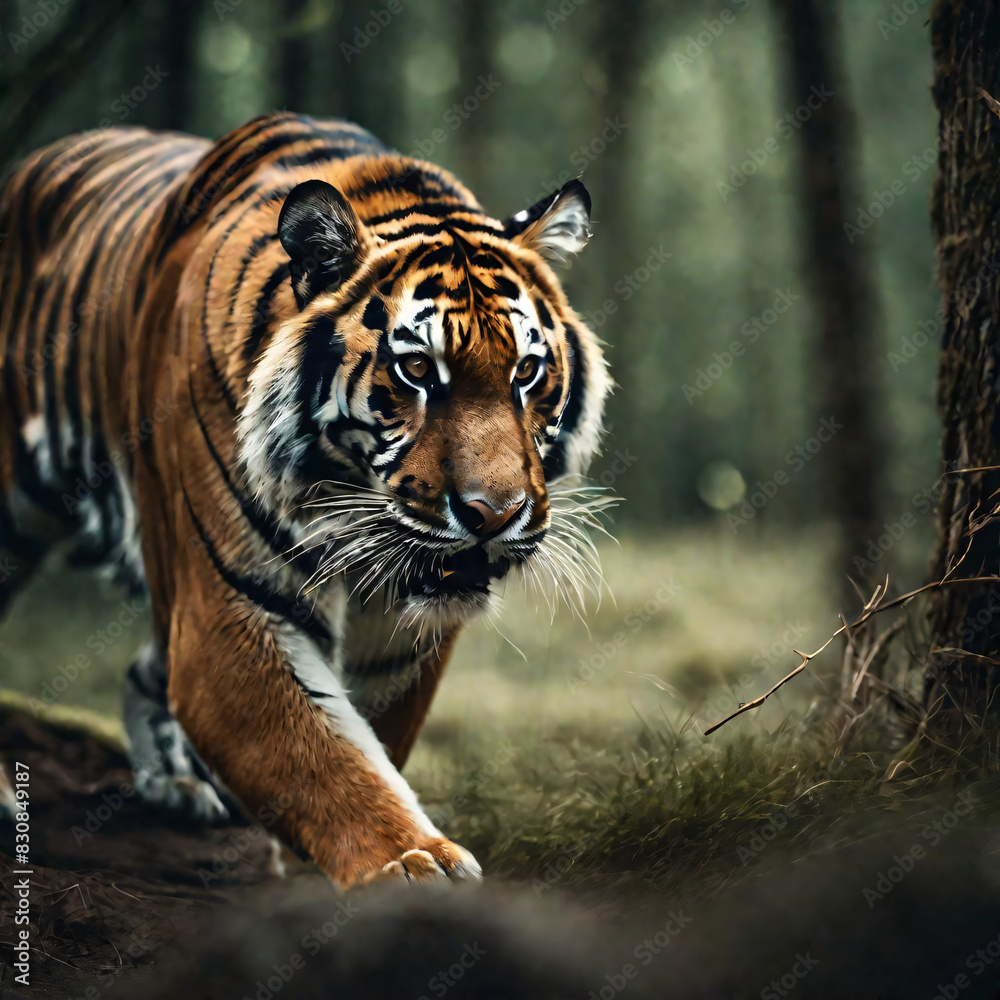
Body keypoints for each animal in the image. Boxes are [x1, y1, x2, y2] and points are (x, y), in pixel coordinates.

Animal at [0, 111, 611, 887]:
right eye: (417, 370)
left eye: (527, 372)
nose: (493, 516)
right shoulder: (232, 609)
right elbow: (324, 759)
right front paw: (411, 865)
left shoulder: (397, 643)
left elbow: (371, 744)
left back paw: (177, 783)